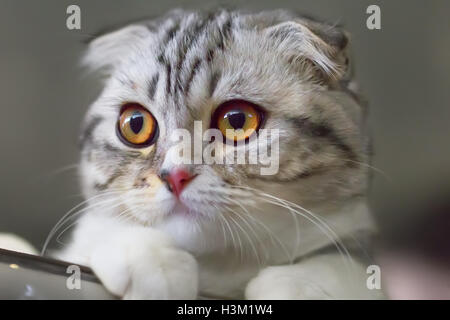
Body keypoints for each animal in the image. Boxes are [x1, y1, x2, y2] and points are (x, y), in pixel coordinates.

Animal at [54, 8, 382, 300]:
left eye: (237, 120)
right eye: (136, 124)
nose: (175, 176)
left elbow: (343, 266)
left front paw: (296, 285)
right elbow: (98, 229)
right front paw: (152, 262)